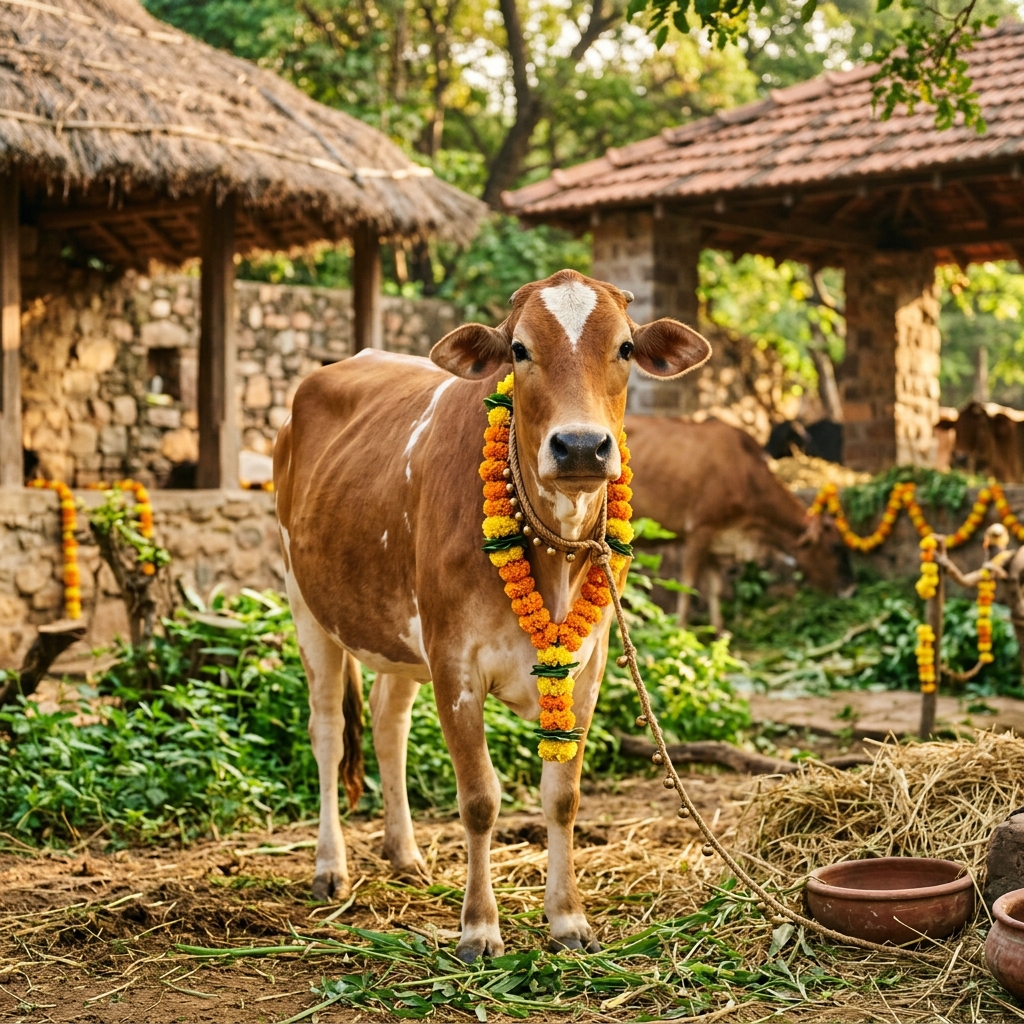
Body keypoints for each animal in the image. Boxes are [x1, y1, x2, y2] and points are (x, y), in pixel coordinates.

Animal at [273, 270, 711, 962]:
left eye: (624, 347)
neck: (553, 556)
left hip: (397, 634)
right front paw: (479, 927)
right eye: (519, 350)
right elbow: (479, 798)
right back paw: (330, 867)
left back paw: (404, 855)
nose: (581, 447)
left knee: (387, 726)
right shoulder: (455, 665)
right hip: (305, 602)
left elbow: (562, 797)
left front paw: (567, 918)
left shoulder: (587, 669)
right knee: (327, 731)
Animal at [626, 416, 851, 628]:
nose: (849, 589)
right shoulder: (700, 529)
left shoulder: (716, 537)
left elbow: (715, 587)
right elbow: (688, 585)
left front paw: (718, 630)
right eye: (835, 547)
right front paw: (681, 628)